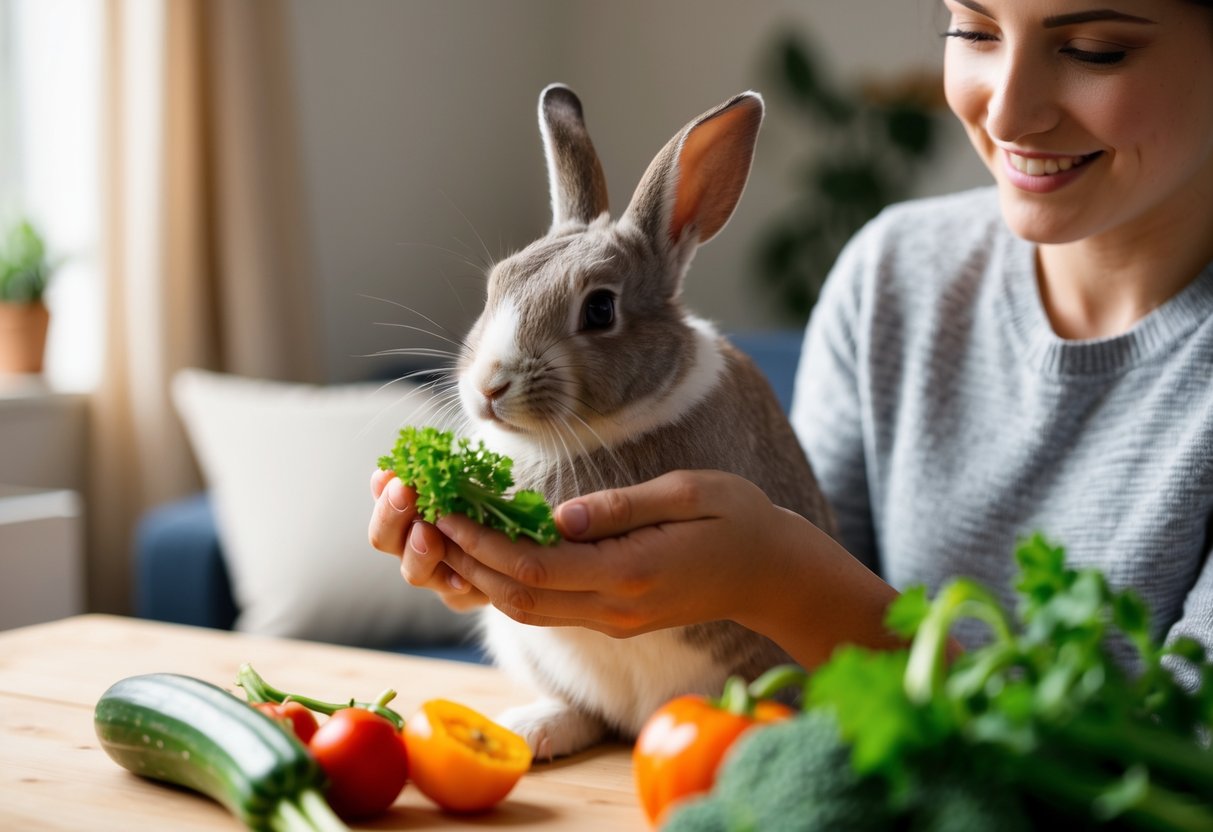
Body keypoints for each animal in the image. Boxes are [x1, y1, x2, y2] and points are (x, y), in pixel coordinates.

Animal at [454, 84, 835, 760]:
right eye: (497, 285)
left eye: (600, 310)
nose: (489, 387)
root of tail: (639, 722)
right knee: (590, 715)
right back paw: (535, 729)